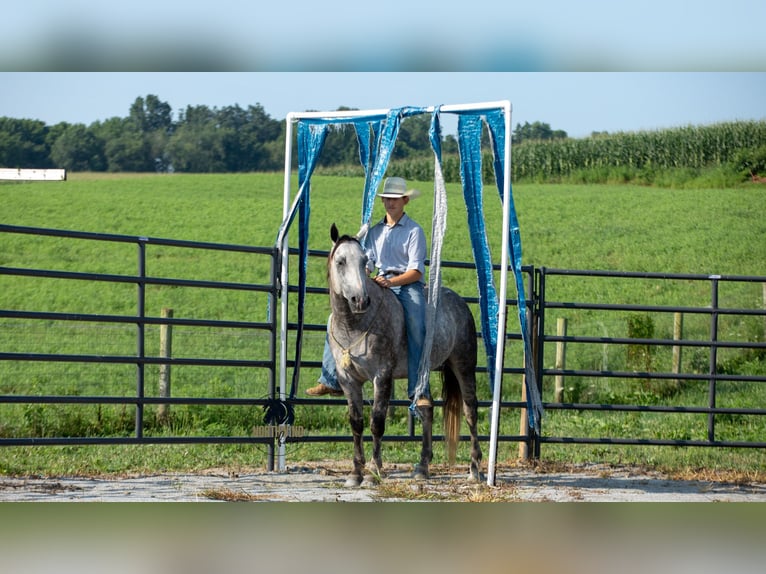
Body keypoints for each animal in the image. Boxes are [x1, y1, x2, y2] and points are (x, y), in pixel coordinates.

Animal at [326, 223, 482, 487]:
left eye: (364, 261)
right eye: (340, 261)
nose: (360, 300)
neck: (354, 325)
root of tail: (459, 303)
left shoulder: (382, 375)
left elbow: (377, 422)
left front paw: (373, 472)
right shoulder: (348, 379)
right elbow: (356, 423)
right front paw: (355, 473)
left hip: (464, 366)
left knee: (470, 410)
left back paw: (475, 469)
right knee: (427, 409)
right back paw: (422, 467)